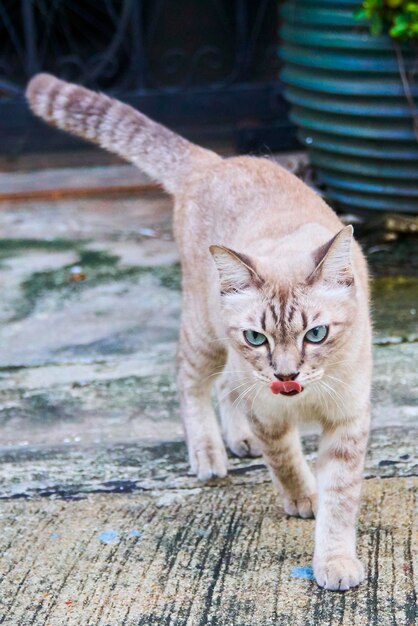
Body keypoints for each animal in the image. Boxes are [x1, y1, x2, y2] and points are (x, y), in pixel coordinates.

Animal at [27, 74, 372, 588]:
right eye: (258, 337)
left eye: (316, 335)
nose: (286, 375)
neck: (302, 399)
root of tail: (213, 160)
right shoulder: (268, 410)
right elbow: (286, 461)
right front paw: (302, 498)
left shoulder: (347, 421)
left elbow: (341, 501)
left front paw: (334, 561)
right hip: (205, 334)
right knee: (190, 381)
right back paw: (209, 454)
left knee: (226, 385)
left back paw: (237, 440)